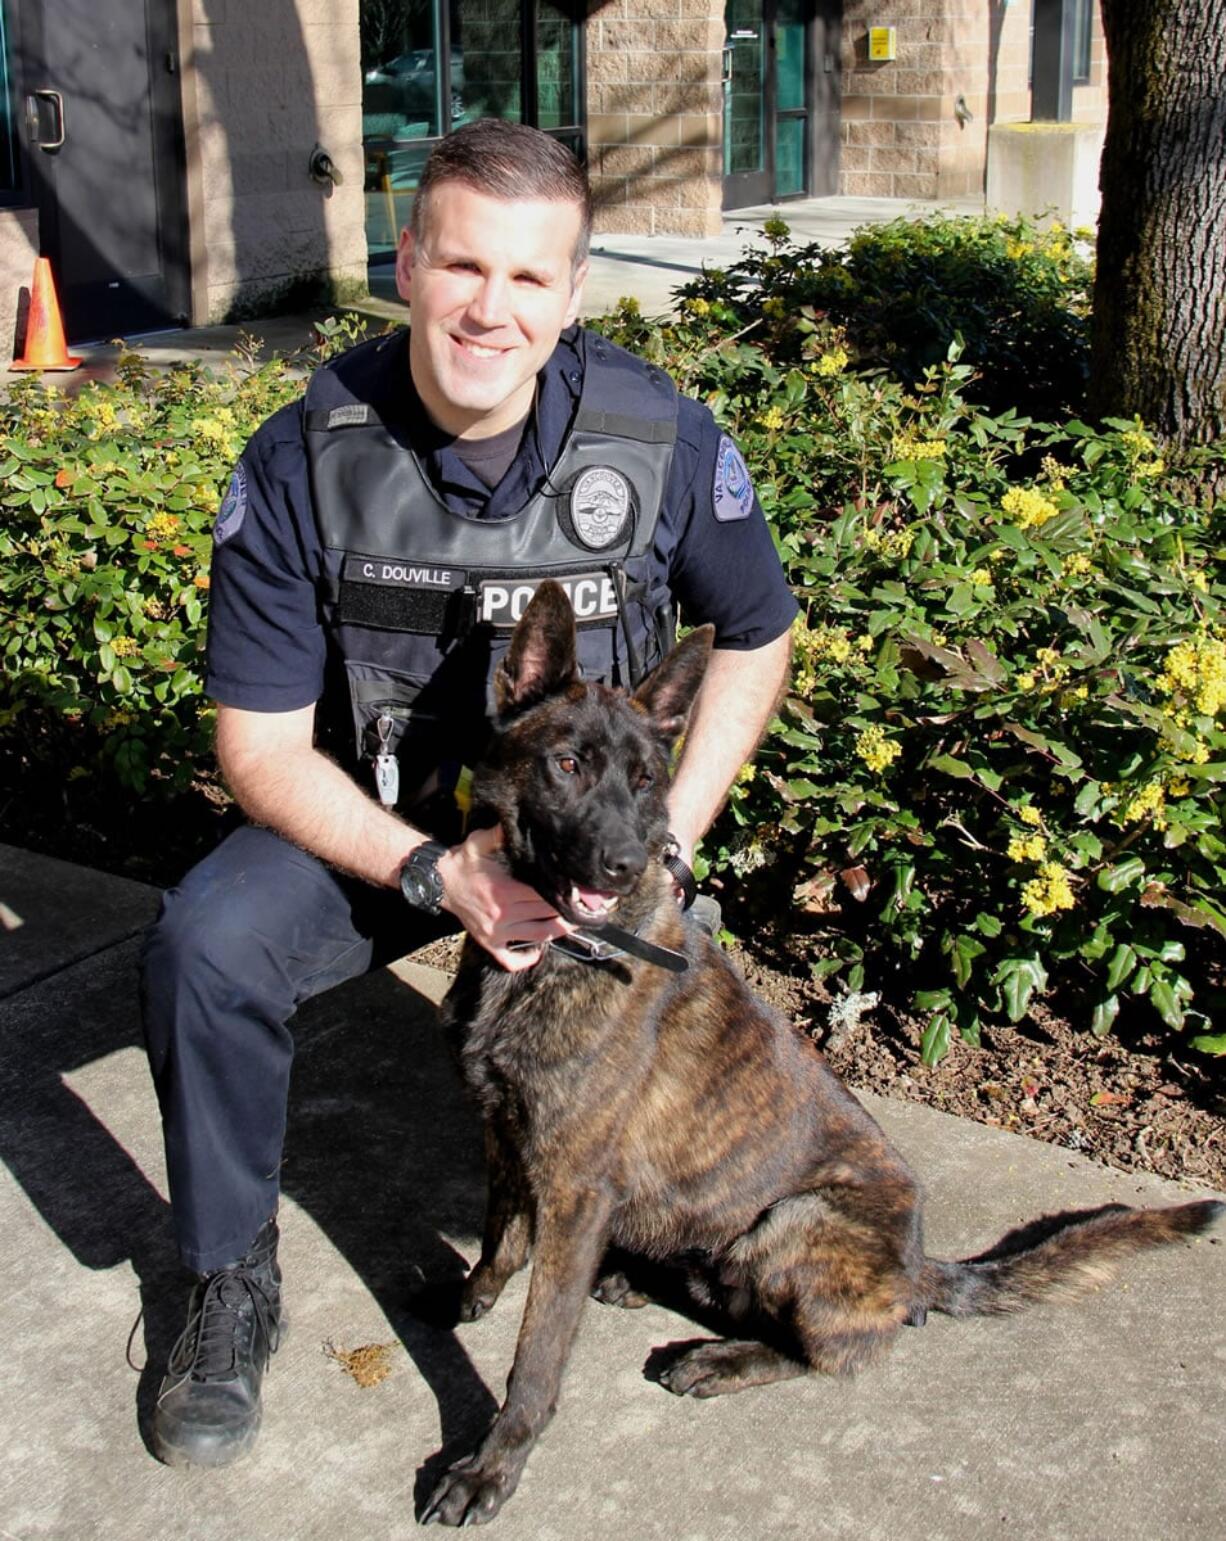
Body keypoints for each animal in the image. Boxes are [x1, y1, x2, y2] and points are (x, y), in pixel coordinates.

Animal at [422, 579, 1213, 1528]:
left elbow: (537, 1355)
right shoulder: (508, 1134)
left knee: (829, 1349)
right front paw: (476, 1292)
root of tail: (916, 1270)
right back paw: (643, 1281)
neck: (546, 957)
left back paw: (717, 1356)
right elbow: (502, 1232)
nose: (622, 862)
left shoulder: (574, 1191)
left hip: (795, 1218)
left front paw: (493, 1463)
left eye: (646, 781)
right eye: (568, 764)